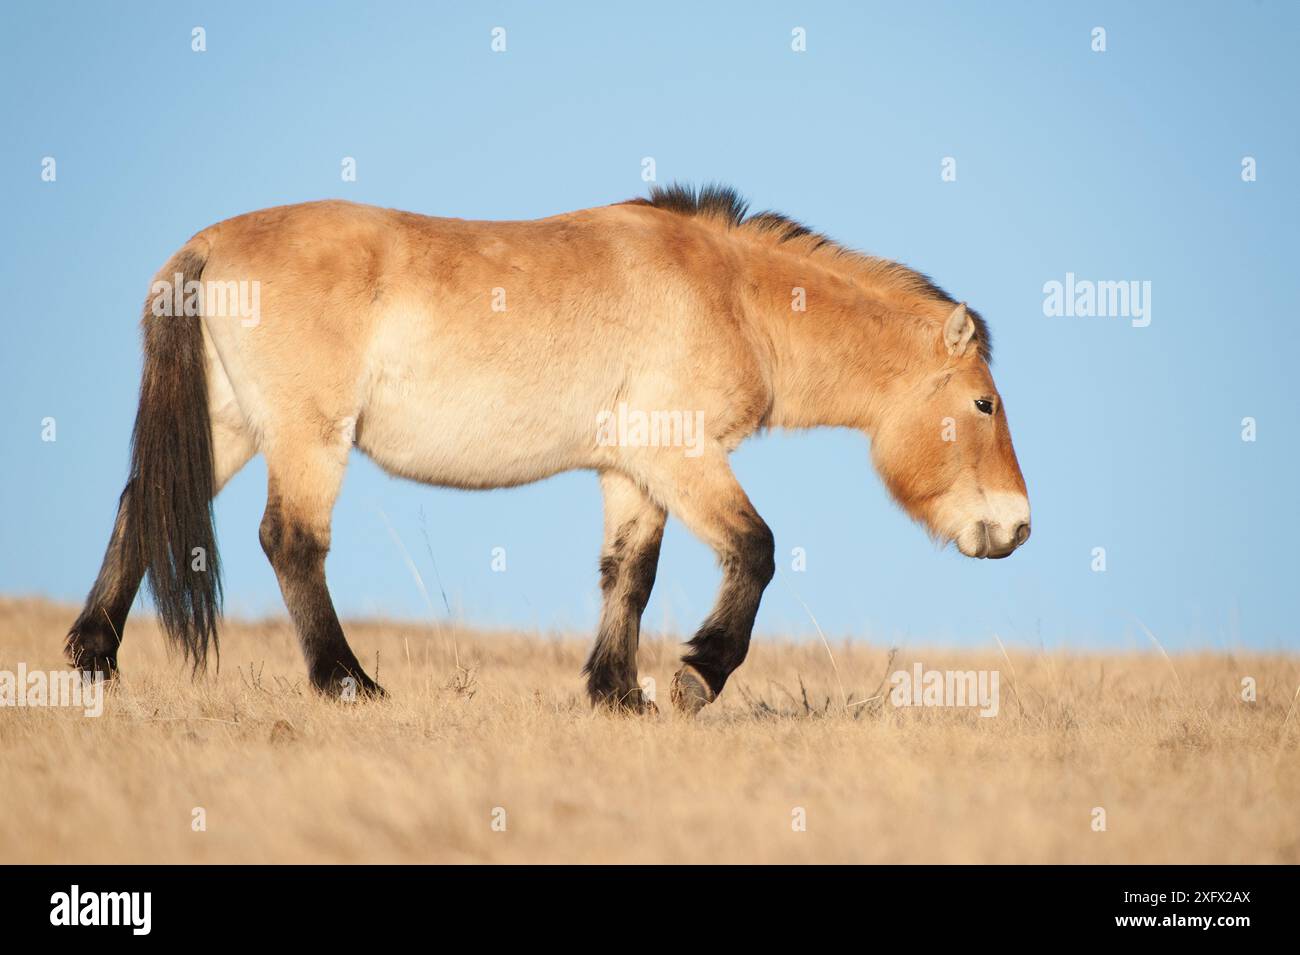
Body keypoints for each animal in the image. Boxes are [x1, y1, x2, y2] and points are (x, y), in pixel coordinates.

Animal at [65, 183, 1029, 712]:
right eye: (983, 402)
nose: (1016, 527)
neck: (732, 293)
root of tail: (207, 245)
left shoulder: (631, 471)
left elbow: (627, 575)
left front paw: (617, 692)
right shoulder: (680, 457)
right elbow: (755, 550)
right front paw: (695, 678)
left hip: (230, 427)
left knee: (141, 505)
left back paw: (93, 658)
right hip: (307, 437)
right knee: (290, 541)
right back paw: (348, 681)